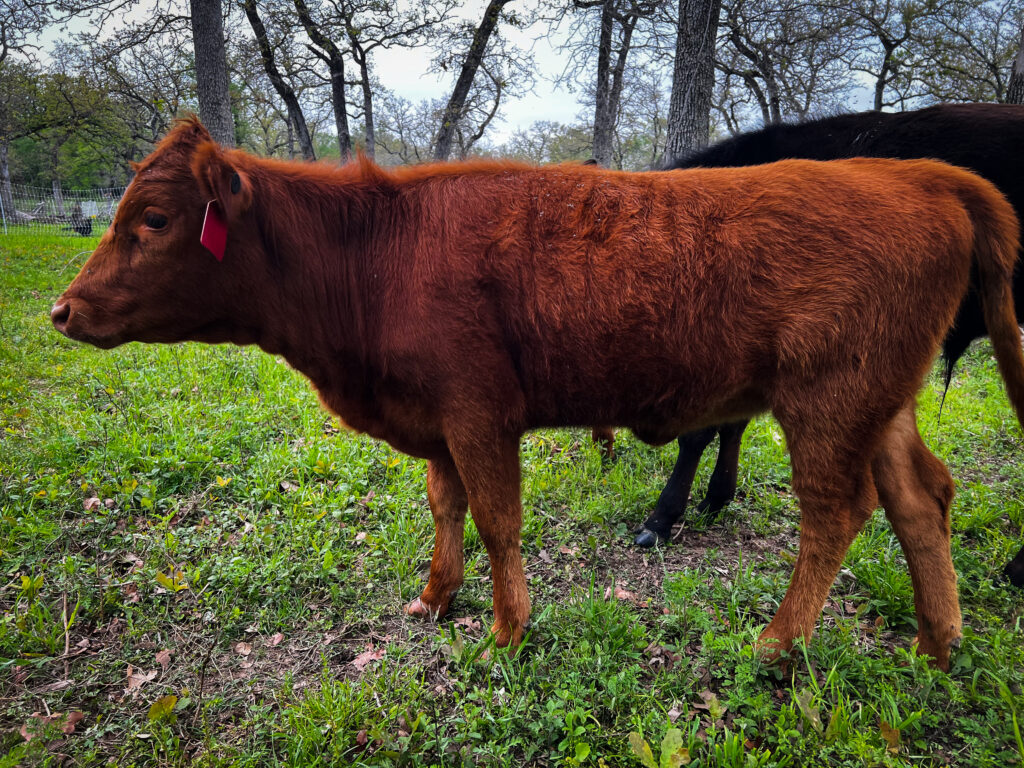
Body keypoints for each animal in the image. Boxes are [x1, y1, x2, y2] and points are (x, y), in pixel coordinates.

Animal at [51, 120, 1024, 671]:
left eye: (154, 219)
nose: (63, 309)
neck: (379, 254)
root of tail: (913, 173)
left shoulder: (479, 413)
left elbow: (497, 520)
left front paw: (508, 631)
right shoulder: (436, 424)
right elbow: (445, 508)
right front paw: (435, 598)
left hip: (827, 400)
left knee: (837, 512)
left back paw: (779, 645)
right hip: (880, 403)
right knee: (921, 497)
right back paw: (939, 642)